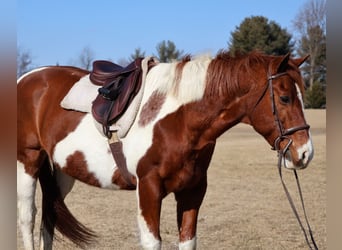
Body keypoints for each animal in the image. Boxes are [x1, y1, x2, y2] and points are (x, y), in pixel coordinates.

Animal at [17, 49, 314, 249]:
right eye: (285, 98)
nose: (305, 153)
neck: (180, 119)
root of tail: (25, 79)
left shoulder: (193, 191)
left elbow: (188, 241)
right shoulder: (149, 189)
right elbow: (153, 241)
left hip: (63, 172)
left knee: (49, 217)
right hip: (28, 161)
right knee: (28, 217)